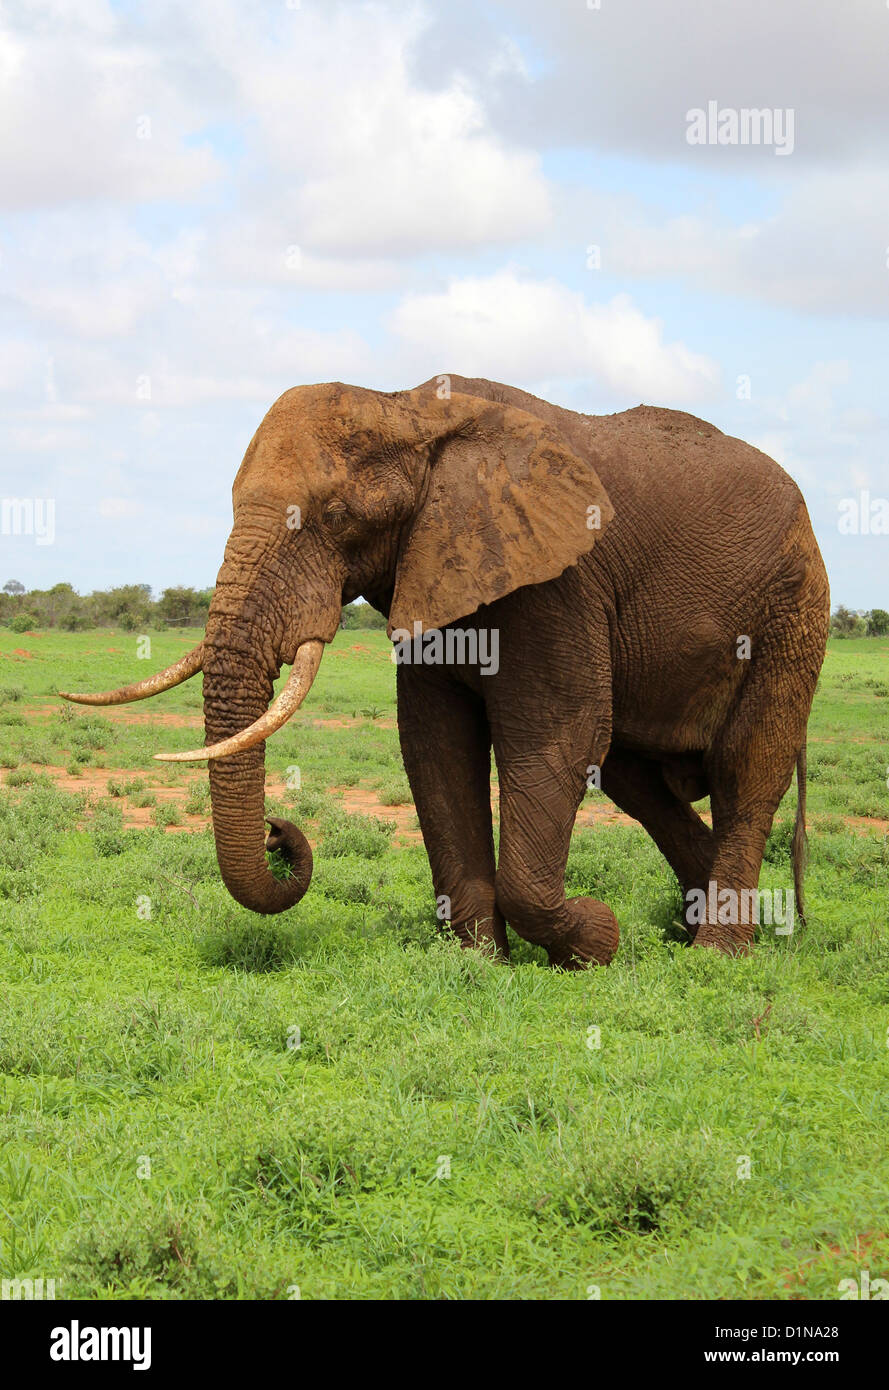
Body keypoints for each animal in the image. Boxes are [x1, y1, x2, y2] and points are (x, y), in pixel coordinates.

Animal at [60, 372, 827, 967]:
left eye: (335, 515)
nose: (280, 833)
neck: (409, 410)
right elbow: (436, 746)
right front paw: (481, 964)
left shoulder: (558, 581)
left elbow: (556, 737)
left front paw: (597, 939)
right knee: (636, 780)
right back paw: (697, 927)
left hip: (790, 610)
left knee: (745, 765)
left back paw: (715, 957)